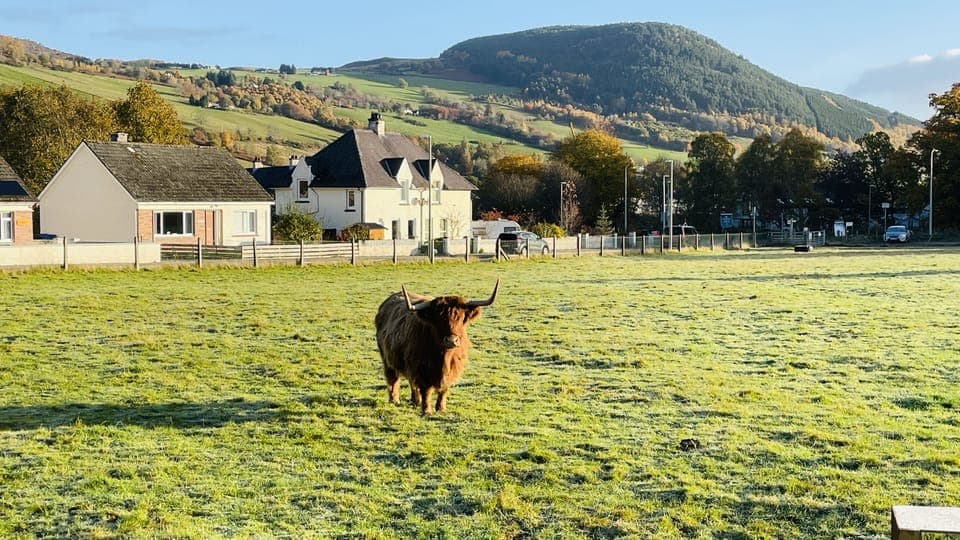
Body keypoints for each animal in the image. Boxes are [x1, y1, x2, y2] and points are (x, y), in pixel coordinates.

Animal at [375, 279, 499, 415]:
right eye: (438, 320)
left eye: (461, 318)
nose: (451, 340)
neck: (444, 357)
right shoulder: (422, 368)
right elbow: (426, 390)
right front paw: (427, 411)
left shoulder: (451, 369)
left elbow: (444, 389)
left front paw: (441, 409)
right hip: (387, 358)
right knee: (393, 378)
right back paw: (394, 400)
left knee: (411, 381)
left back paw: (415, 401)